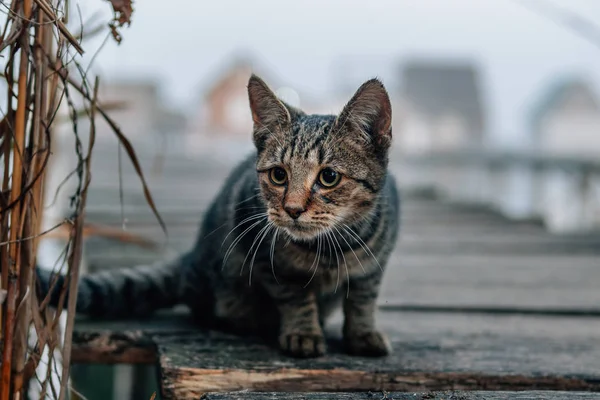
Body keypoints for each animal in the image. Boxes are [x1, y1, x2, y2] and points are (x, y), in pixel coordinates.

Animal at [38, 73, 404, 358]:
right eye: (278, 175)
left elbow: (363, 298)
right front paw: (303, 332)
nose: (293, 209)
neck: (327, 251)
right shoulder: (264, 254)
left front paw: (362, 333)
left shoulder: (377, 261)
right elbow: (295, 296)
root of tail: (191, 259)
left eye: (328, 177)